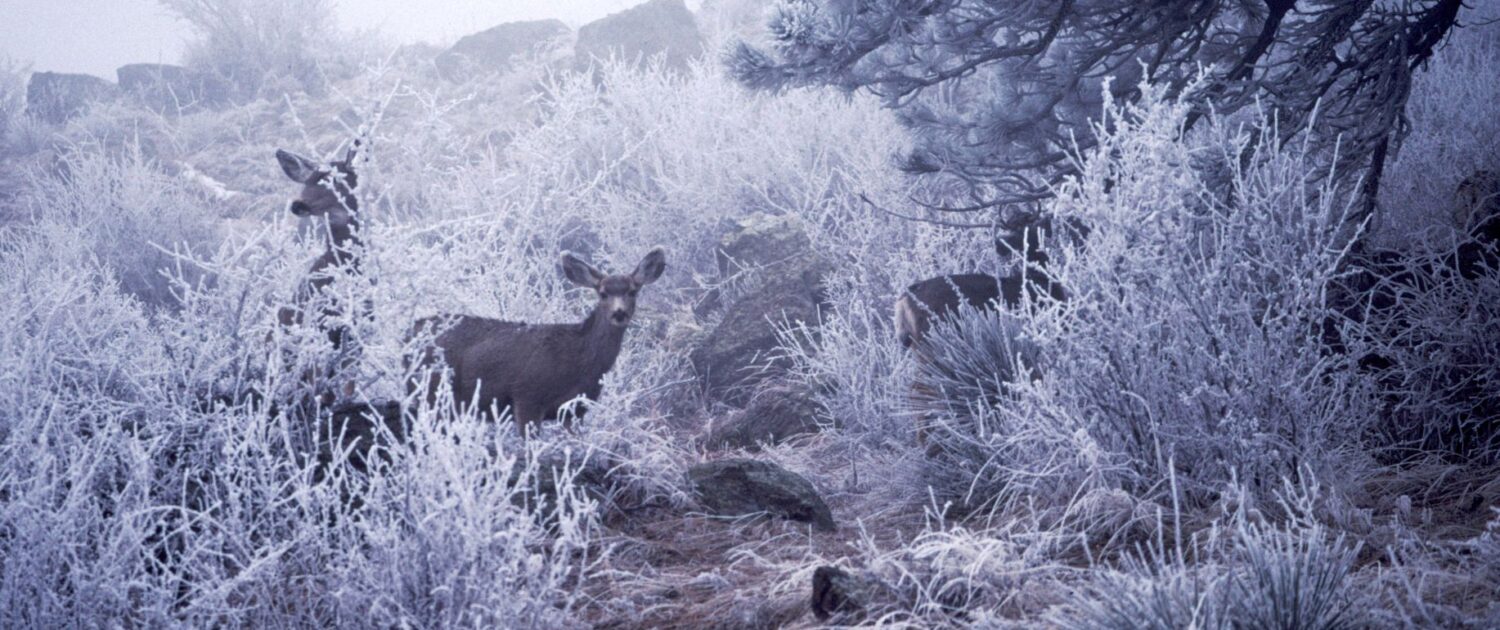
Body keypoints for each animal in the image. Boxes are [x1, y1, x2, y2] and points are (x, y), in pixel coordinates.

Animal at [411, 244, 669, 429]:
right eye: (603, 293)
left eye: (632, 291)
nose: (619, 312)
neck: (580, 360)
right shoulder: (527, 396)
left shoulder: (576, 409)